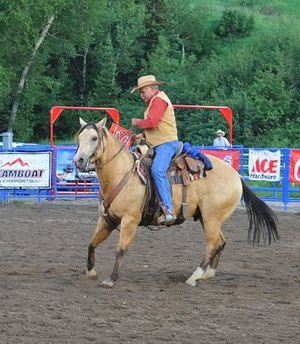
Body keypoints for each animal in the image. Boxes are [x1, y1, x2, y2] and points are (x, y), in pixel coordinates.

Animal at [74, 117, 278, 286]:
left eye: (94, 138)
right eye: (79, 137)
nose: (78, 160)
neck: (121, 173)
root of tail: (237, 176)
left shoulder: (129, 221)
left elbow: (121, 250)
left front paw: (111, 278)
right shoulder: (107, 220)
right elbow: (91, 243)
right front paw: (91, 272)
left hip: (212, 218)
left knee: (212, 245)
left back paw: (194, 277)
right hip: (207, 218)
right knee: (220, 242)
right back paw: (208, 274)